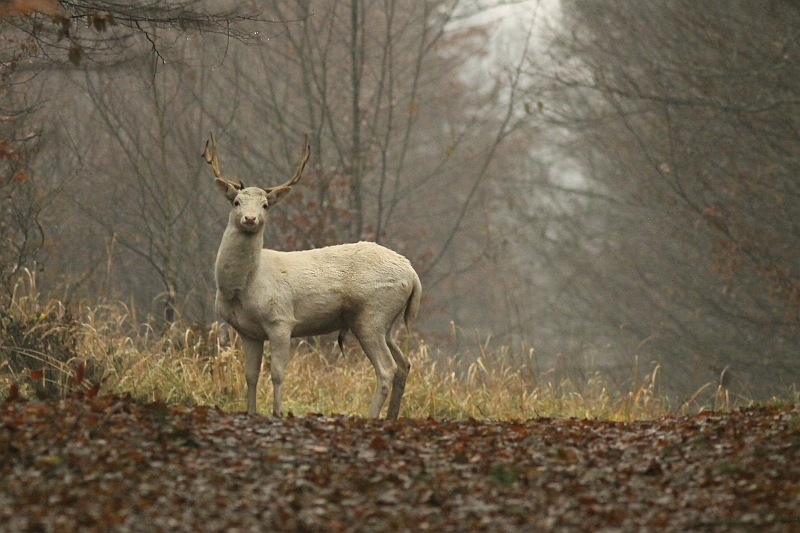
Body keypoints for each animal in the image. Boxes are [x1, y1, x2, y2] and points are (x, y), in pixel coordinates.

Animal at [203, 133, 422, 420]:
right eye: (237, 202)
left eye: (265, 205)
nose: (250, 219)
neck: (243, 288)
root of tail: (413, 275)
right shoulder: (248, 331)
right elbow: (250, 376)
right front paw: (251, 412)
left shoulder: (281, 320)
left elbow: (277, 373)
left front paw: (277, 412)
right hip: (384, 322)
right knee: (404, 364)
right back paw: (391, 417)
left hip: (372, 314)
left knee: (387, 369)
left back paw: (371, 416)